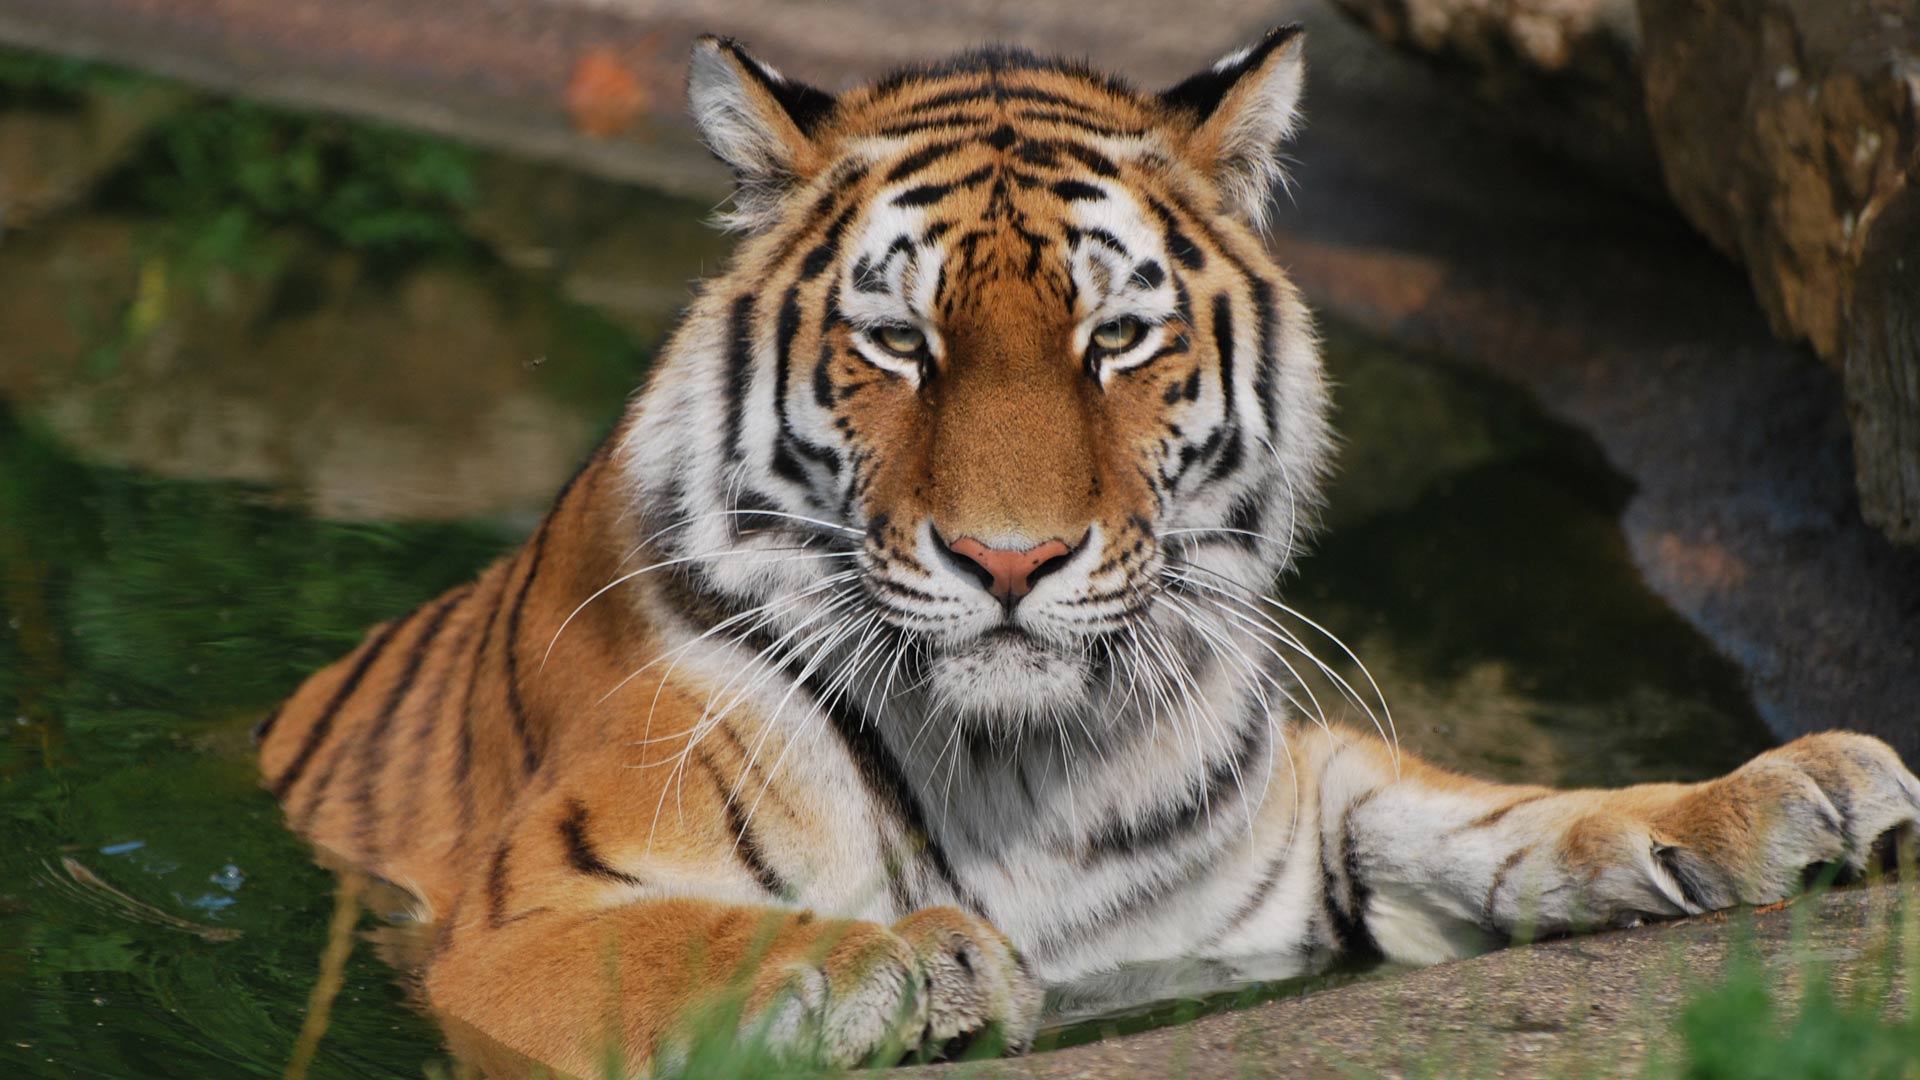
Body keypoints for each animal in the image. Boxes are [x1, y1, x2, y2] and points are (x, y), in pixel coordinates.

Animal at [255, 27, 1920, 1076]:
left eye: (1116, 338)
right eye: (899, 342)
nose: (1012, 561)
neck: (1018, 765)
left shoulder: (1301, 804)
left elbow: (1502, 814)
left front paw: (1789, 796)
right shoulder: (513, 925)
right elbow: (682, 945)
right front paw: (889, 967)